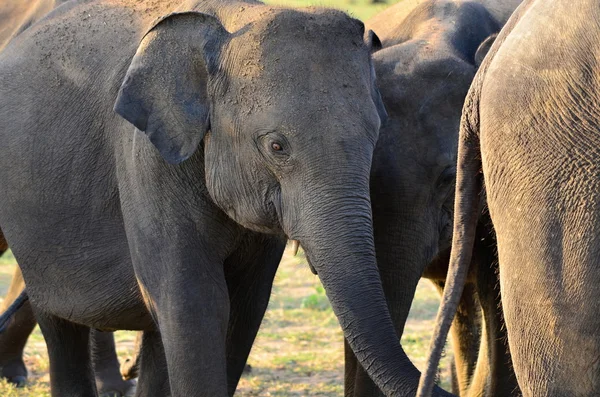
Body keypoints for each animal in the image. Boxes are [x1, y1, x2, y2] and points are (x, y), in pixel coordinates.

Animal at [0, 0, 446, 394]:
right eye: (277, 146)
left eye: (375, 138)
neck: (230, 21)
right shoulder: (144, 156)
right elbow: (193, 301)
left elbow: (245, 306)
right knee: (58, 323)